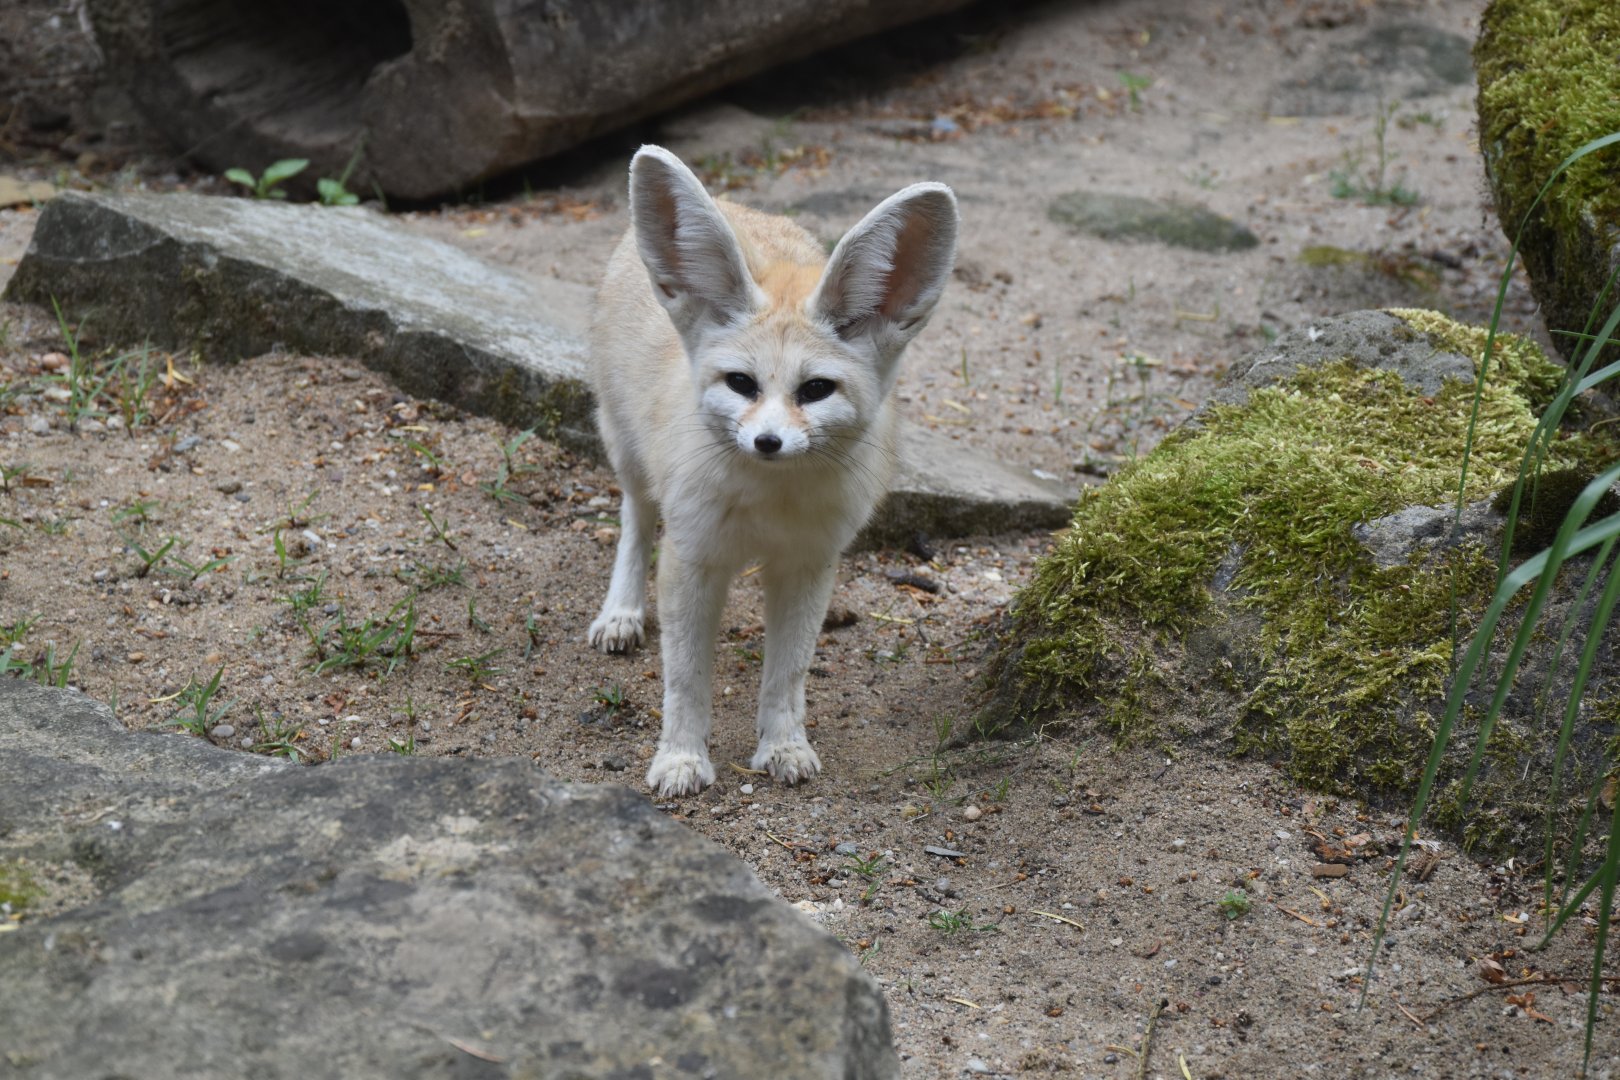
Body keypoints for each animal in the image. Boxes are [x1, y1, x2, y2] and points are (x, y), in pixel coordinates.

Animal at [587, 145, 958, 797]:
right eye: (742, 383)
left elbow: (788, 670)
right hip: (626, 450)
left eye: (815, 390)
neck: (769, 502)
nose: (767, 441)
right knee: (634, 517)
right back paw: (622, 612)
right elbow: (685, 677)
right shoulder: (692, 558)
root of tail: (734, 201)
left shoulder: (809, 564)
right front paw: (680, 757)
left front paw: (784, 745)